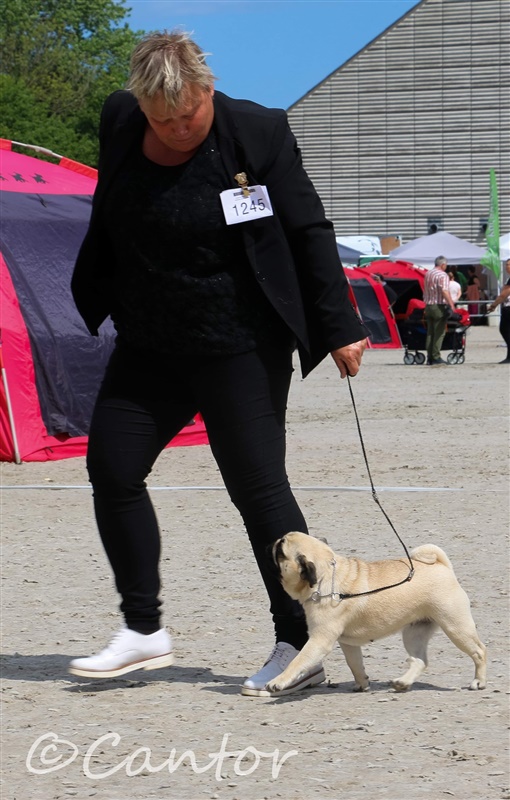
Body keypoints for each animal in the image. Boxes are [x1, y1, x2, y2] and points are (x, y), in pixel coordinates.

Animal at [267, 532, 486, 694]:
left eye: (281, 551)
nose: (272, 542)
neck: (325, 578)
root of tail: (442, 566)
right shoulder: (347, 643)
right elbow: (355, 663)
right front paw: (362, 684)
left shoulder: (319, 640)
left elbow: (298, 662)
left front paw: (278, 681)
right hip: (414, 633)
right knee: (420, 661)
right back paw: (402, 683)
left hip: (455, 626)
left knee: (479, 651)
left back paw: (478, 682)